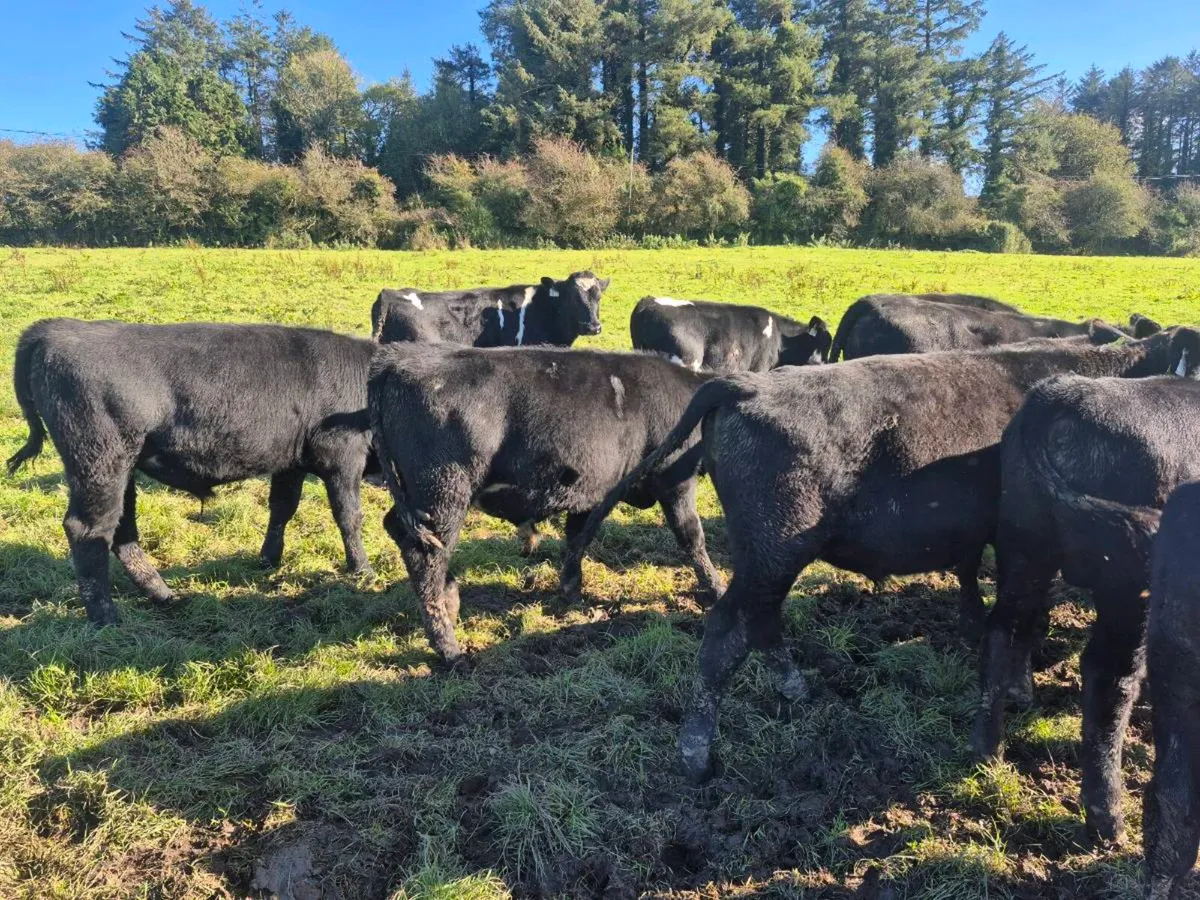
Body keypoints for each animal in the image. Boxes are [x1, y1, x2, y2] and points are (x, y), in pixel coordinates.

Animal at [6, 318, 377, 626]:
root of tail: (54, 328)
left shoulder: (290, 463)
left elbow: (281, 509)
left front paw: (268, 559)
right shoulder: (342, 456)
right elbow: (349, 516)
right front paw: (361, 569)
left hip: (122, 469)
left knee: (122, 530)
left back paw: (161, 594)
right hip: (99, 463)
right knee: (88, 531)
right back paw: (106, 617)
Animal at [368, 344, 722, 664]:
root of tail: (396, 362)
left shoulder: (592, 491)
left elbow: (578, 538)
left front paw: (571, 588)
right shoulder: (674, 480)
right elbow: (691, 535)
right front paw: (716, 588)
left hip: (418, 499)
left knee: (398, 529)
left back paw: (451, 597)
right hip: (444, 494)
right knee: (425, 558)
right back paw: (448, 648)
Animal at [566, 326, 1189, 782]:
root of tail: (744, 385)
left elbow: (981, 586)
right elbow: (1020, 617)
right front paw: (1019, 685)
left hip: (765, 554)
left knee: (761, 620)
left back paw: (793, 686)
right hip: (775, 547)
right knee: (725, 634)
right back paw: (696, 753)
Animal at [971, 346, 1200, 844]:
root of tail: (1058, 397)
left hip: (1024, 544)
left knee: (1003, 630)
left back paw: (986, 752)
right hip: (1127, 583)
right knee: (1109, 674)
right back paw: (1106, 815)